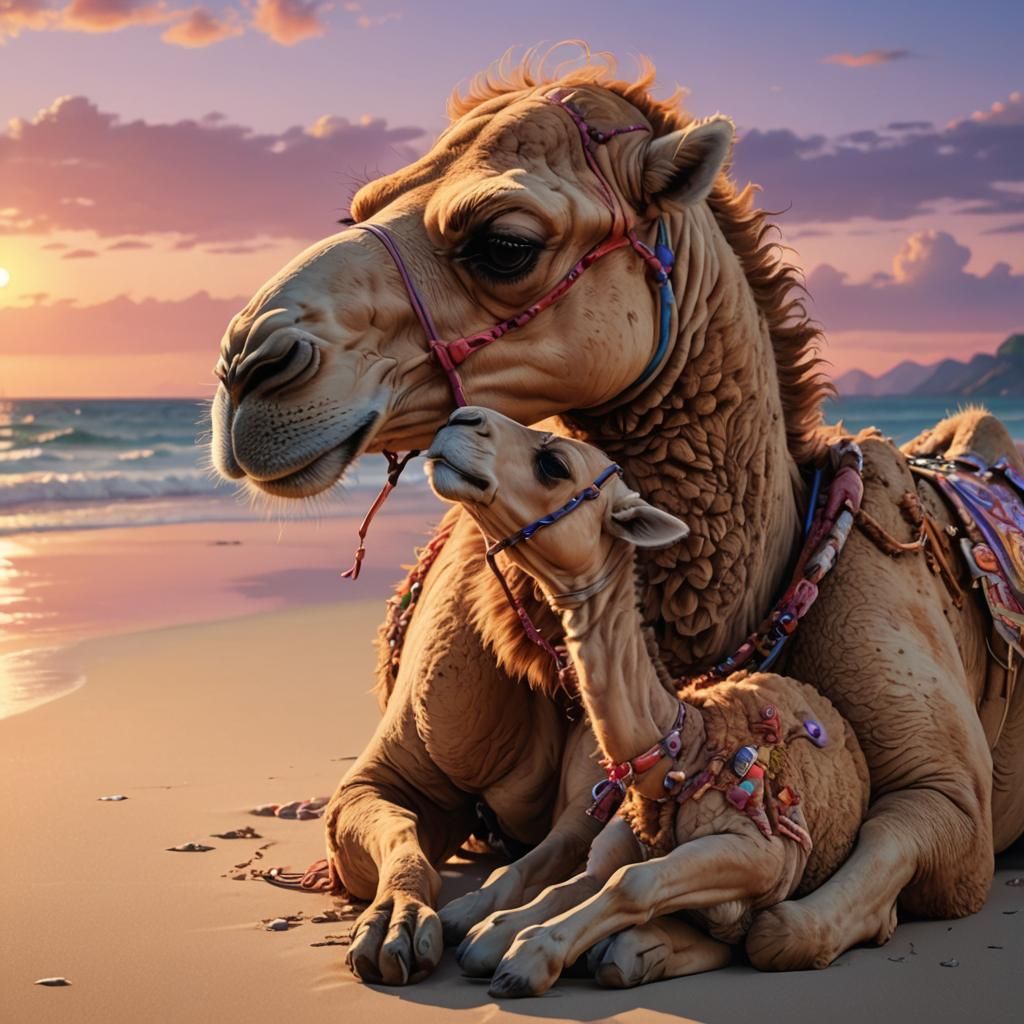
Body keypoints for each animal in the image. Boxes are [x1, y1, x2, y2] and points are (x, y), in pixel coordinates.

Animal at [425, 407, 870, 994]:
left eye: (554, 463)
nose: (460, 417)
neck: (684, 751)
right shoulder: (621, 834)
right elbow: (580, 883)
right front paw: (491, 933)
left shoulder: (767, 853)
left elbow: (631, 883)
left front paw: (527, 960)